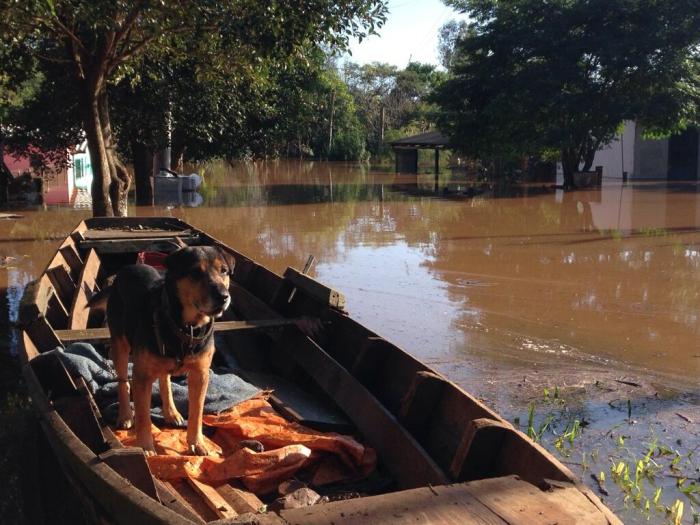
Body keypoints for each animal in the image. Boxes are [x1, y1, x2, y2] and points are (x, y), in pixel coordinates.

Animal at [91, 246, 235, 454]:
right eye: (195, 272)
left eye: (223, 270)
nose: (223, 297)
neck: (187, 327)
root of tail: (126, 269)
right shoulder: (142, 377)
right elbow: (143, 417)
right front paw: (145, 447)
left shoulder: (200, 374)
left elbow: (197, 412)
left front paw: (197, 443)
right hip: (120, 345)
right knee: (123, 382)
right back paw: (125, 415)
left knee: (164, 378)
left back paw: (171, 412)